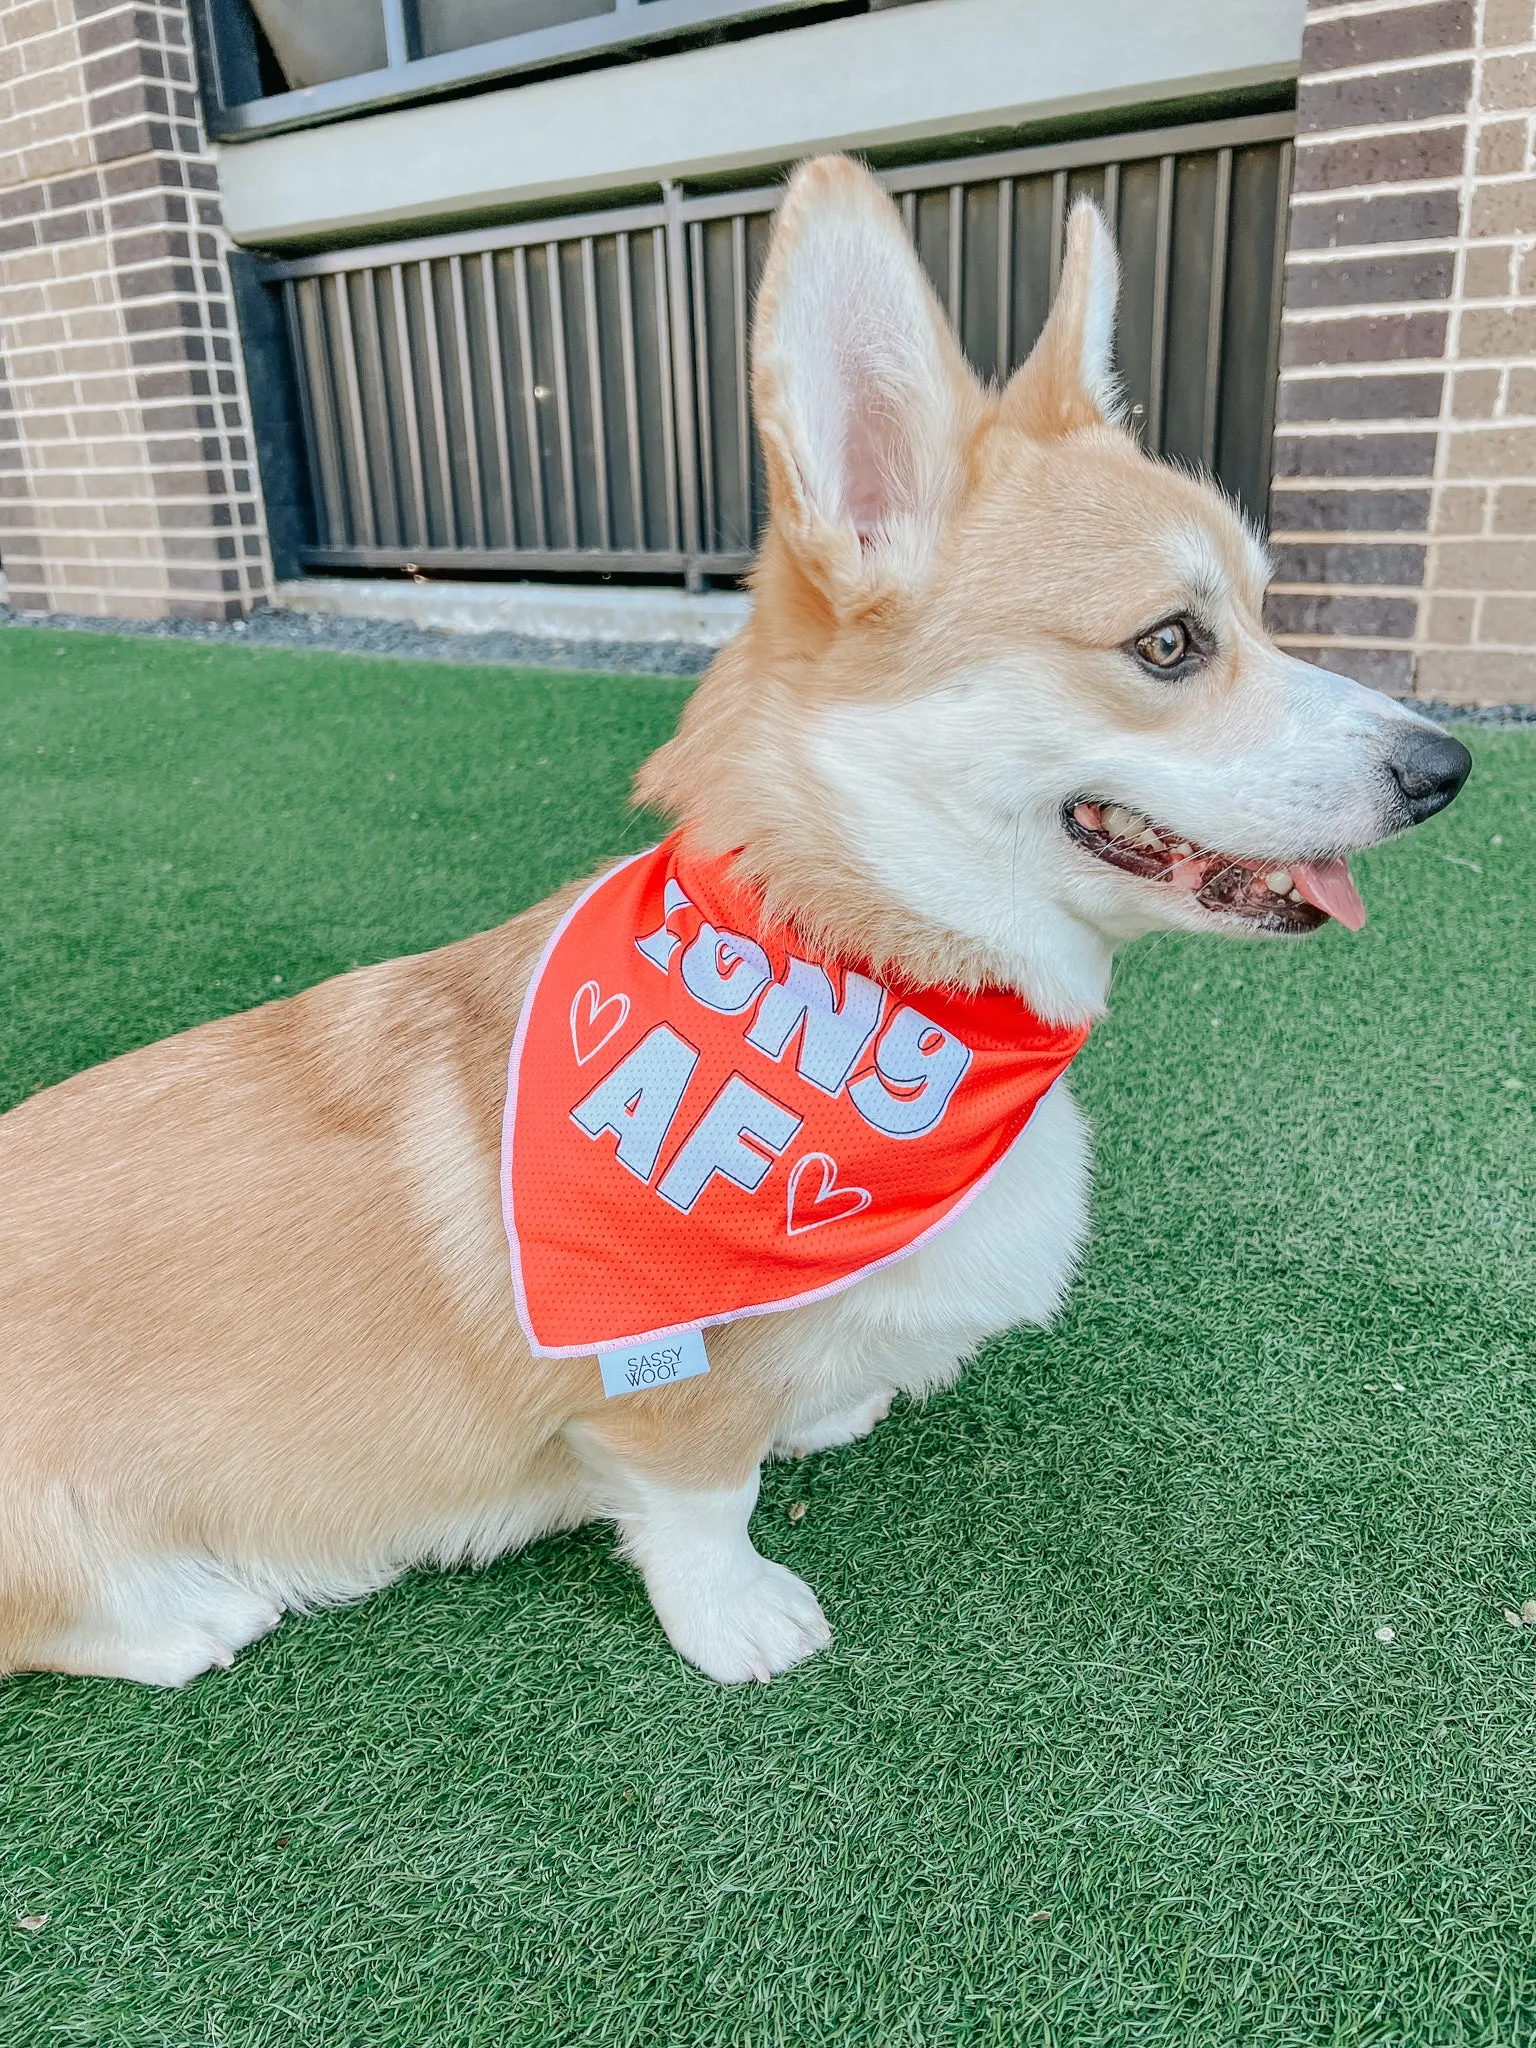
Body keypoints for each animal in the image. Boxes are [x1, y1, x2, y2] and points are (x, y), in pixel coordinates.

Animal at [0, 159, 1474, 1687]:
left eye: (1263, 609)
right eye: (1172, 644)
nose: (1448, 770)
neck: (846, 960)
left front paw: (828, 1410)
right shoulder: (660, 1383)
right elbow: (705, 1499)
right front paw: (743, 1618)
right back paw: (192, 1609)